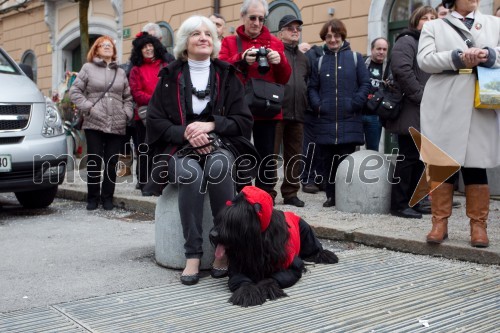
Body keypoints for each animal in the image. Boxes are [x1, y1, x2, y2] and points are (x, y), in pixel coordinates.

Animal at [209, 185, 338, 304]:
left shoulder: (291, 265)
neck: (257, 242)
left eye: (232, 223)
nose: (212, 234)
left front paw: (267, 286)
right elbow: (241, 280)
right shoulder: (236, 268)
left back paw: (325, 255)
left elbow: (274, 277)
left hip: (305, 231)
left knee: (315, 249)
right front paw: (248, 292)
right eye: (219, 220)